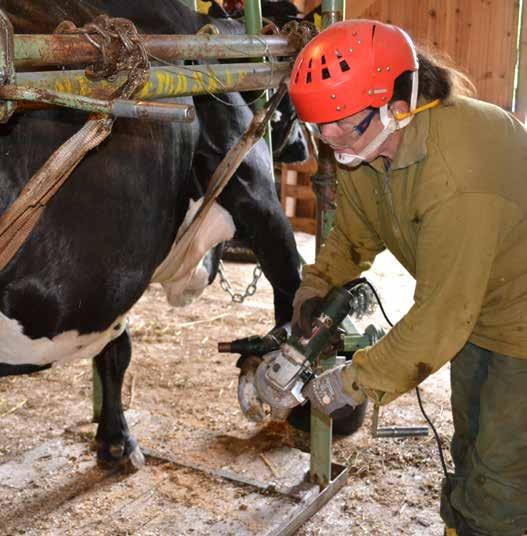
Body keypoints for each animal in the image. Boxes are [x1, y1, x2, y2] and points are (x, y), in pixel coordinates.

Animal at [0, 0, 306, 468]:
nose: (305, 147)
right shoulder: (254, 187)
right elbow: (293, 282)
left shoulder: (118, 269)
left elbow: (117, 349)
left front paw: (114, 440)